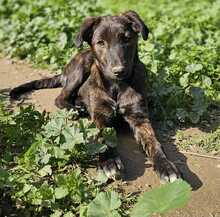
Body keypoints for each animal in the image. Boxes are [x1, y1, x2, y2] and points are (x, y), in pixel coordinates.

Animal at [9, 11, 180, 182]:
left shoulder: (139, 117)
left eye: (126, 39)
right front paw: (110, 161)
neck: (116, 86)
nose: (119, 70)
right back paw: (74, 109)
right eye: (101, 43)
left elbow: (153, 142)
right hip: (81, 68)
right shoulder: (100, 116)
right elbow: (103, 138)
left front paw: (166, 166)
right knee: (60, 97)